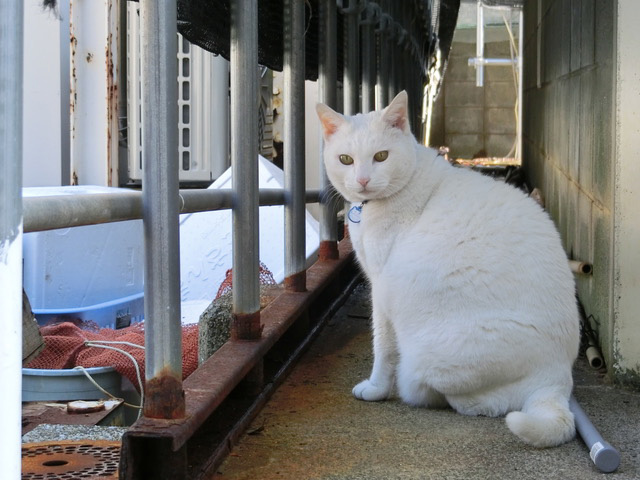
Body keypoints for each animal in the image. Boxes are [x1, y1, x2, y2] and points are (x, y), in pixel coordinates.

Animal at [316, 92, 580, 448]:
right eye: (345, 159)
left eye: (381, 156)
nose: (362, 180)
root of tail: (557, 378)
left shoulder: (381, 288)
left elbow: (382, 347)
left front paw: (375, 389)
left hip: (427, 353)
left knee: (470, 401)